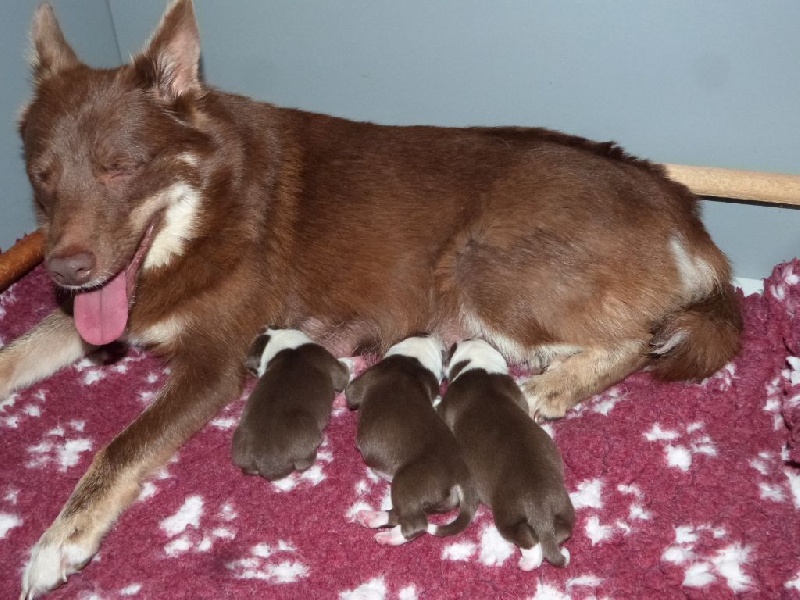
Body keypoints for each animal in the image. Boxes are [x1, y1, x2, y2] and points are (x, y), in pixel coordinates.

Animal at [344, 336, 476, 548]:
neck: (414, 361)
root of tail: (461, 473)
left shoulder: (363, 382)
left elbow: (349, 393)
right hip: (432, 501)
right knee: (403, 514)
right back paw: (372, 517)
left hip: (406, 481)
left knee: (417, 523)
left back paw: (389, 537)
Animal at [438, 340, 576, 568]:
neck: (480, 368)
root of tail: (539, 505)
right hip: (563, 509)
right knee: (560, 533)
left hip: (508, 516)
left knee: (529, 542)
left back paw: (527, 562)